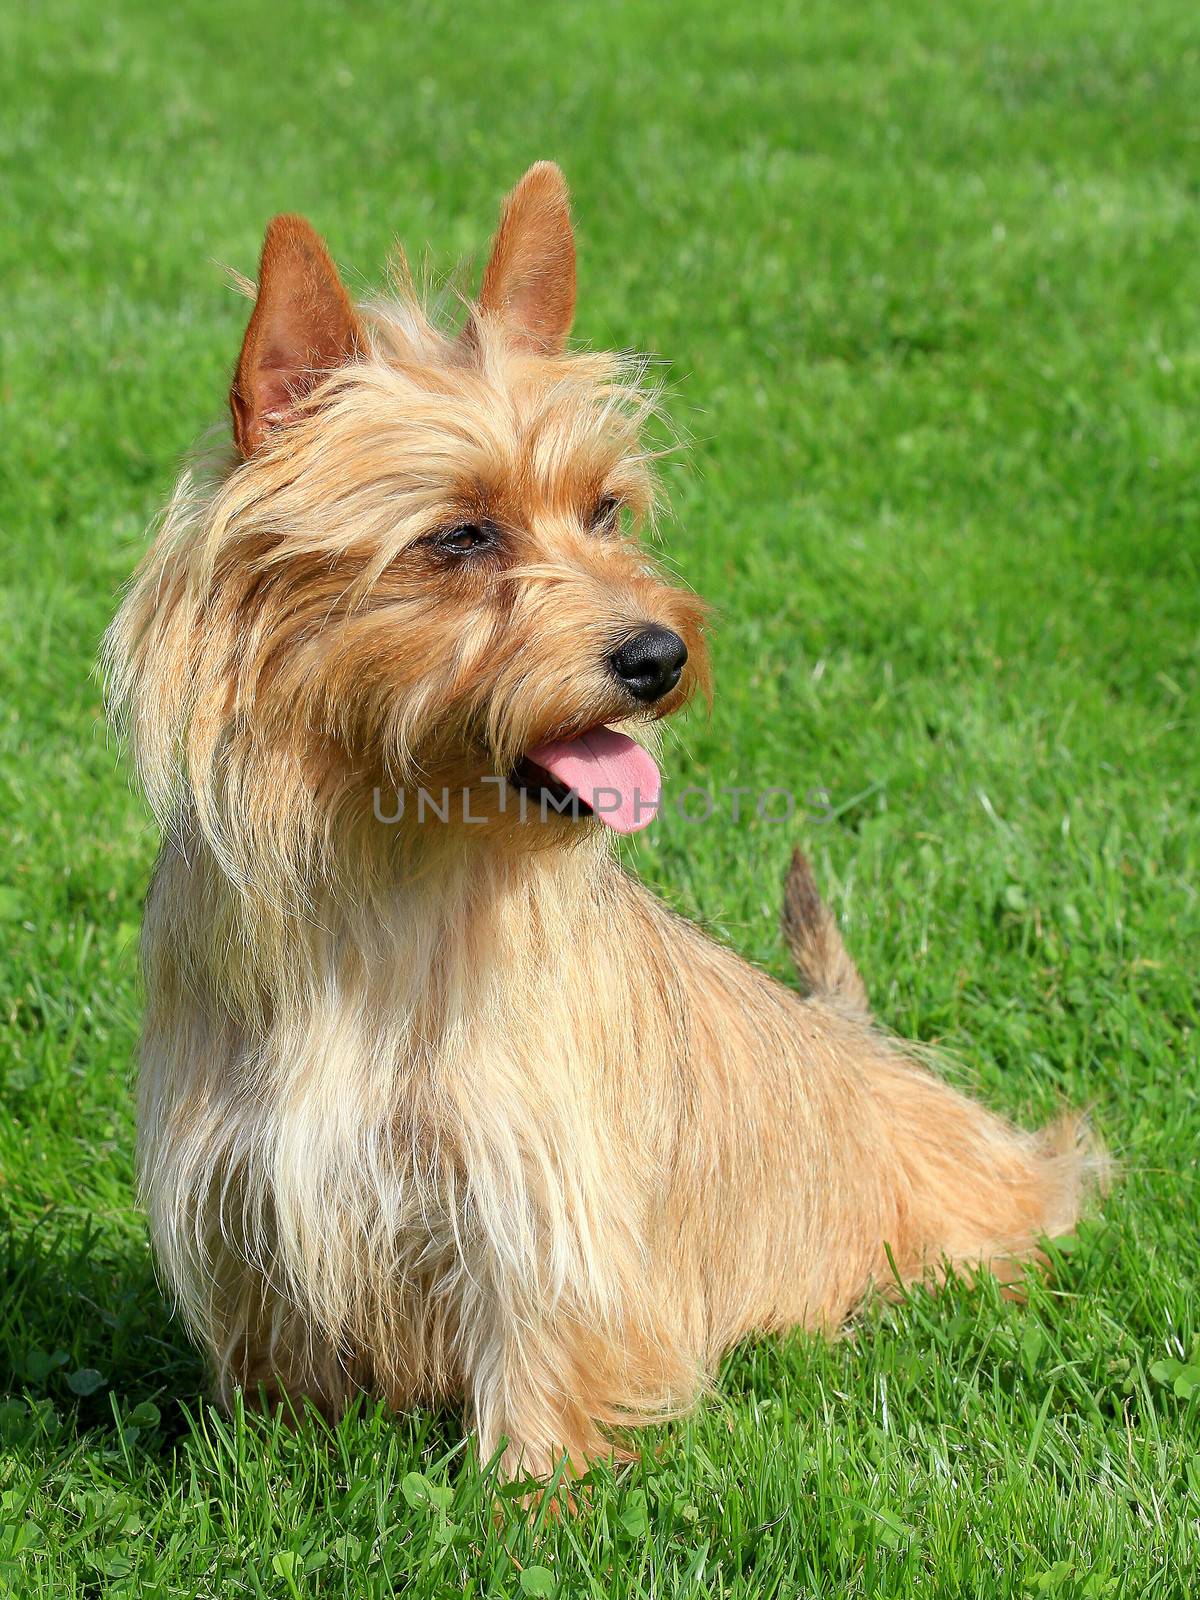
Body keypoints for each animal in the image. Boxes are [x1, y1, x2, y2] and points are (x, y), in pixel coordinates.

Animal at [108, 162, 1107, 1472]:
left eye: (607, 512)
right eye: (459, 535)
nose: (658, 655)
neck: (391, 860)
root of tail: (860, 1045)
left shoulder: (539, 1186)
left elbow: (538, 1355)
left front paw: (529, 1490)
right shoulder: (245, 1187)